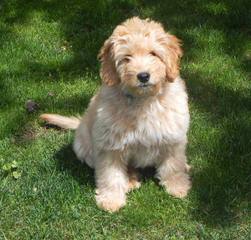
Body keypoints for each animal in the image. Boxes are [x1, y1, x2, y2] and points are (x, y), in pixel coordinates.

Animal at [40, 16, 190, 212]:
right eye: (126, 58)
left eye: (153, 54)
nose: (143, 76)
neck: (143, 101)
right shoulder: (109, 146)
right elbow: (110, 175)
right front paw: (111, 200)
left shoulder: (173, 138)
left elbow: (173, 165)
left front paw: (177, 186)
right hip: (83, 147)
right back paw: (131, 180)